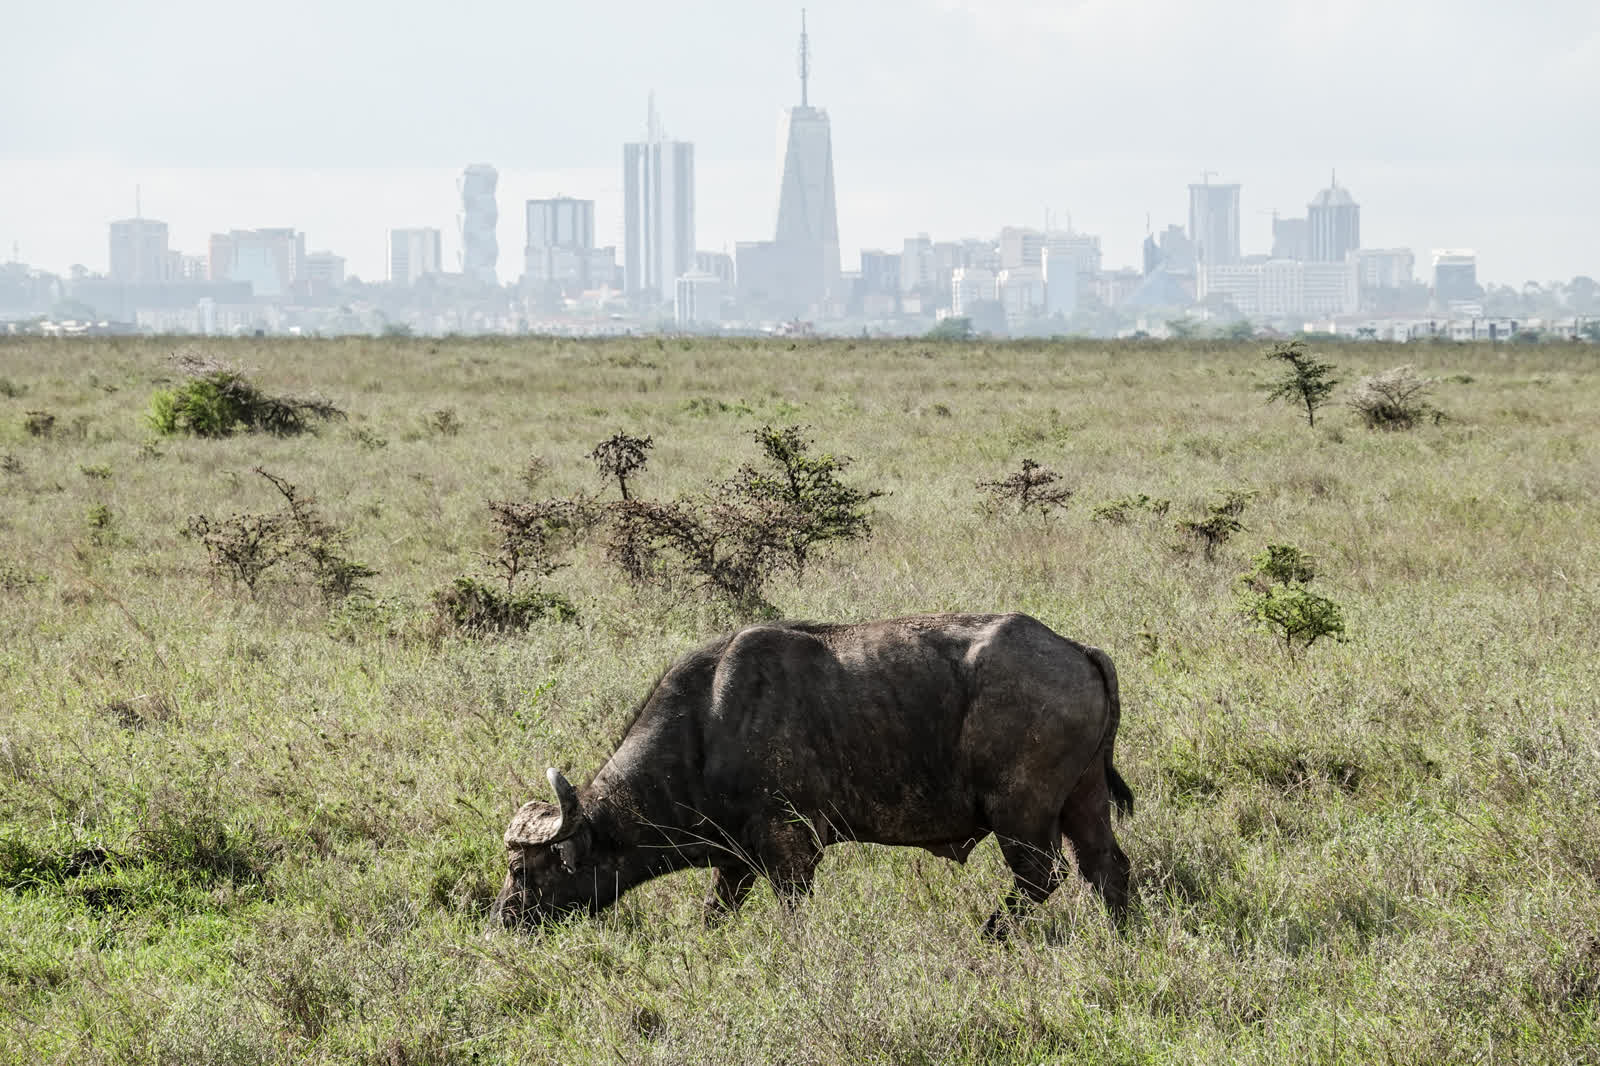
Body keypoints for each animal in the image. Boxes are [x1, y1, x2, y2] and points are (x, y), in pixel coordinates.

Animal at [492, 612, 1132, 936]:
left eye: (525, 871)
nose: (503, 919)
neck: (707, 723)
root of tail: (1074, 648)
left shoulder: (791, 850)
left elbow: (791, 914)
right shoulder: (736, 861)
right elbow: (712, 916)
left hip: (1020, 811)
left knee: (1042, 876)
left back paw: (990, 933)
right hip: (1084, 799)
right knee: (1106, 867)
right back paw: (1123, 937)